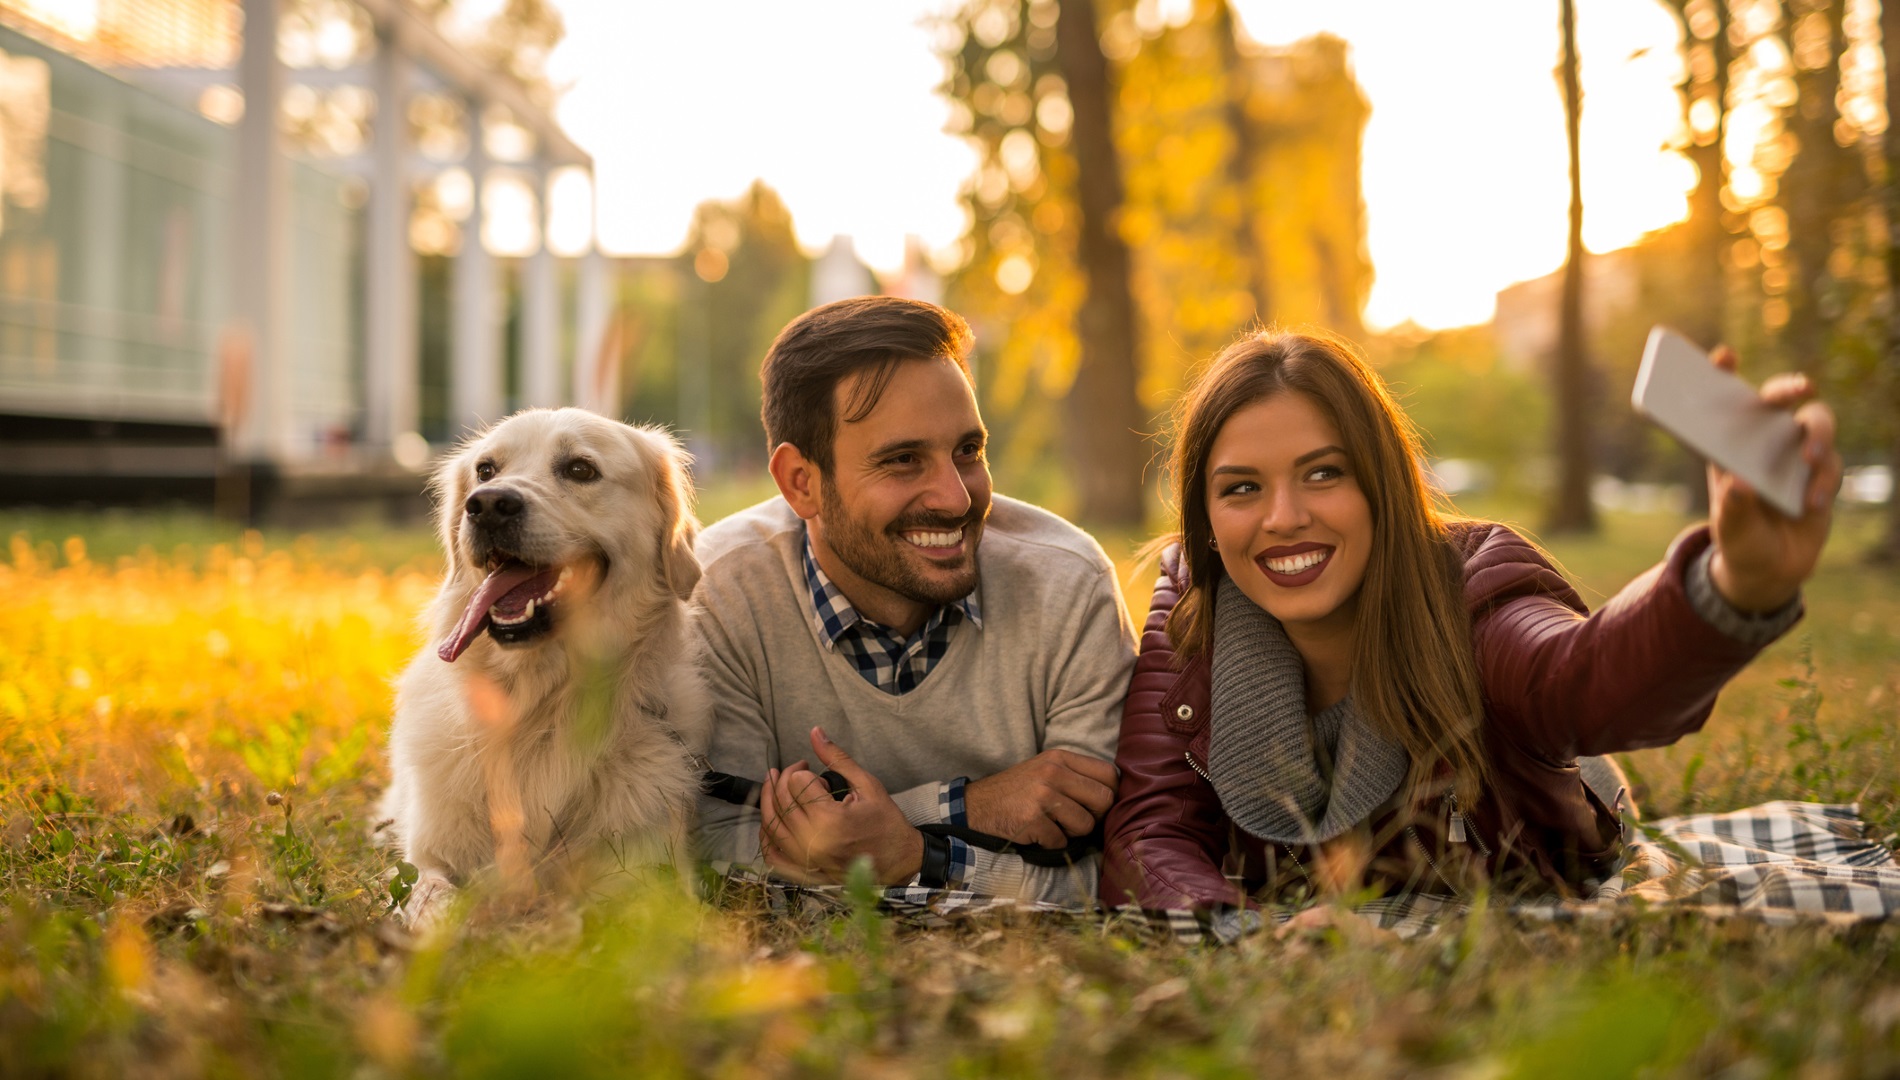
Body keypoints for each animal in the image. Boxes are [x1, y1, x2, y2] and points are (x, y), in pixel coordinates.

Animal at [381, 405, 710, 927]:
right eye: (485, 470)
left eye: (580, 469)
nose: (488, 505)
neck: (537, 704)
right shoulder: (430, 857)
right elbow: (431, 898)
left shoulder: (649, 878)